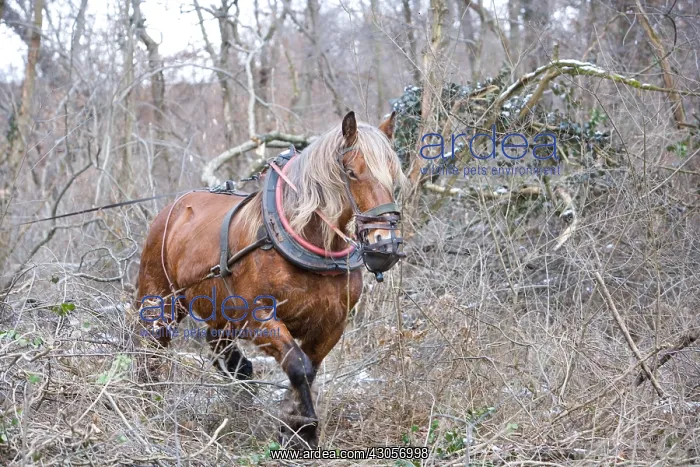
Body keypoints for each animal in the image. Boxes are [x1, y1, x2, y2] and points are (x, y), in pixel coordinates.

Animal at [135, 111, 406, 448]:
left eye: (394, 175)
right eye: (352, 172)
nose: (386, 244)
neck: (308, 240)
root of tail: (170, 211)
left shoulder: (332, 324)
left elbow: (310, 369)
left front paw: (294, 426)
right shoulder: (259, 317)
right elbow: (299, 366)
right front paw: (306, 429)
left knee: (217, 342)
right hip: (161, 300)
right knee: (151, 345)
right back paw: (146, 398)